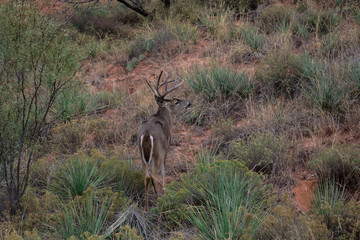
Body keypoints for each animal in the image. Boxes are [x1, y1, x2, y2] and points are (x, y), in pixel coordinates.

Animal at [138, 71, 191, 210]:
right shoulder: (167, 147)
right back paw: (158, 199)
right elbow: (163, 170)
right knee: (154, 174)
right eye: (176, 101)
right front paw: (165, 189)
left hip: (142, 155)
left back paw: (146, 207)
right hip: (158, 152)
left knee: (146, 175)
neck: (165, 119)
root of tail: (146, 134)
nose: (189, 103)